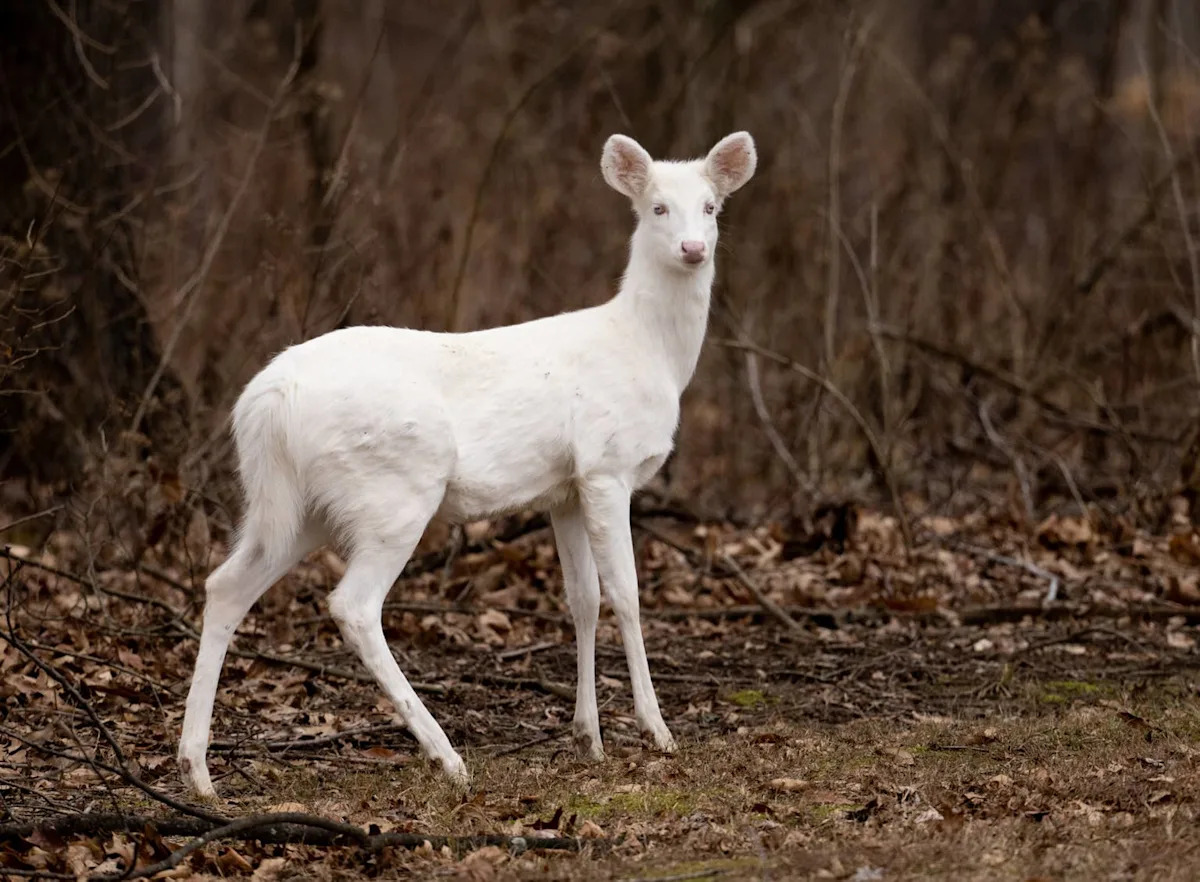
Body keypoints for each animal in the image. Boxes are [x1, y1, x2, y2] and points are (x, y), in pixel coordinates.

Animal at [177, 131, 757, 797]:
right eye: (657, 207)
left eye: (711, 207)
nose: (693, 248)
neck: (650, 351)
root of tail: (267, 400)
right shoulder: (608, 466)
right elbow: (628, 594)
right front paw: (655, 731)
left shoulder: (565, 489)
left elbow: (582, 599)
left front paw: (588, 738)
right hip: (396, 488)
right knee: (353, 605)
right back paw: (445, 755)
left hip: (297, 505)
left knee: (225, 586)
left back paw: (197, 771)